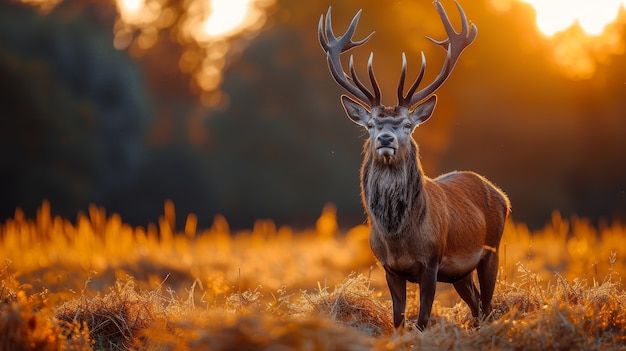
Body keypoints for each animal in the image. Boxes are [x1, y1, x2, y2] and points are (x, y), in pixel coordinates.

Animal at [316, 0, 508, 332]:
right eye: (370, 125)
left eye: (407, 124)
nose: (386, 138)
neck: (398, 238)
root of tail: (501, 194)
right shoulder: (388, 267)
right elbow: (398, 319)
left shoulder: (430, 262)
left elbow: (422, 320)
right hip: (460, 273)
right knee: (476, 307)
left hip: (490, 251)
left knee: (487, 306)